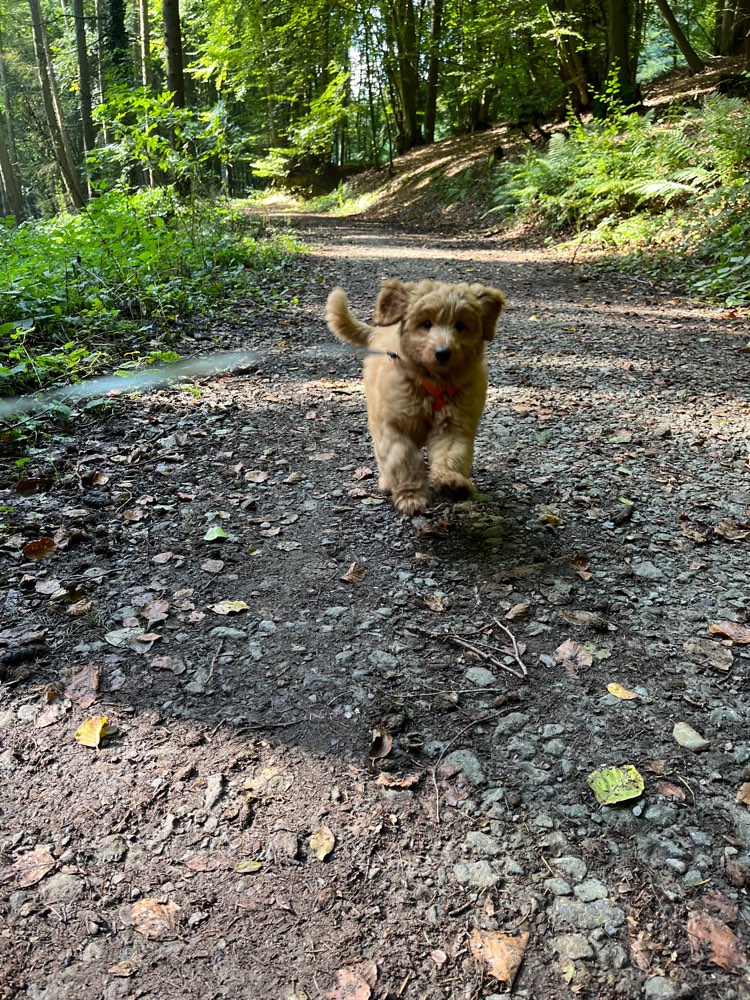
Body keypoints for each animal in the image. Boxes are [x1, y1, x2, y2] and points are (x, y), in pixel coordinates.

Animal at [326, 280, 508, 516]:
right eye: (426, 323)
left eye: (460, 325)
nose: (443, 352)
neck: (432, 383)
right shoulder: (395, 427)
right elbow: (403, 460)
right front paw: (410, 496)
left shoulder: (454, 423)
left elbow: (451, 453)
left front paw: (450, 481)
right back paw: (388, 482)